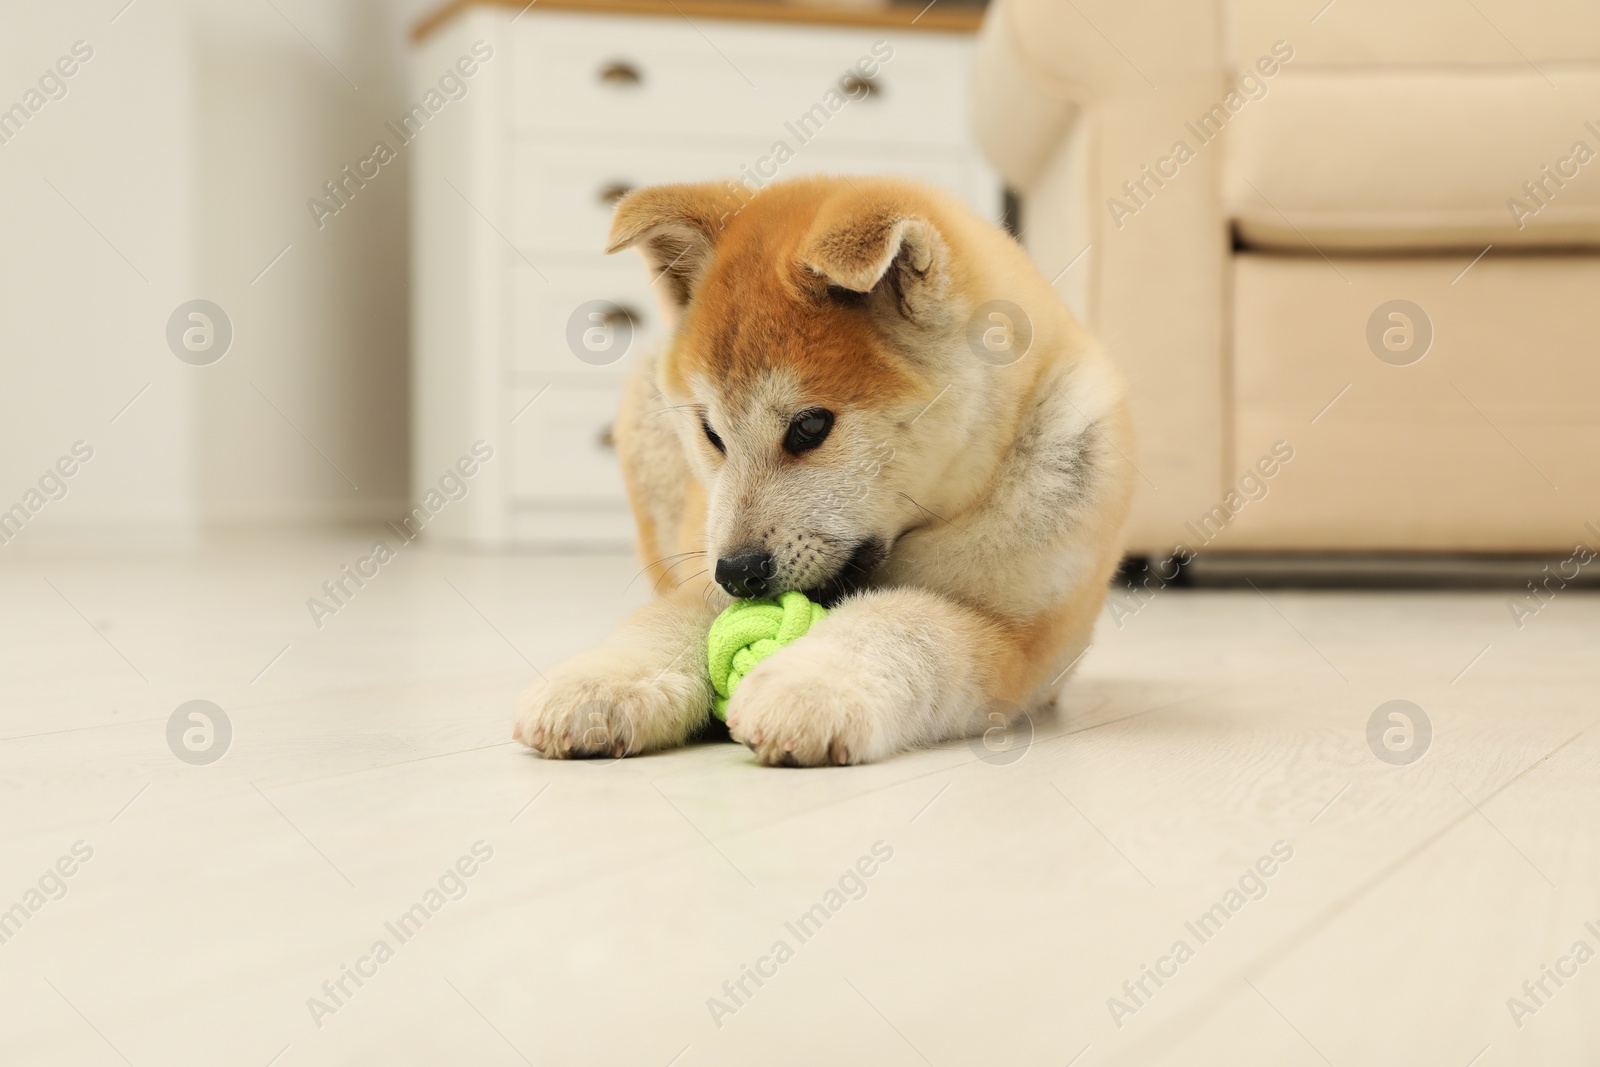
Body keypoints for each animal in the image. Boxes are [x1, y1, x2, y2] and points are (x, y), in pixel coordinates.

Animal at [515, 179, 1139, 767]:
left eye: (810, 426)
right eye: (711, 434)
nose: (737, 572)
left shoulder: (1015, 633)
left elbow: (903, 624)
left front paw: (809, 687)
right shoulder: (702, 582)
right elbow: (663, 624)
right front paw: (600, 683)